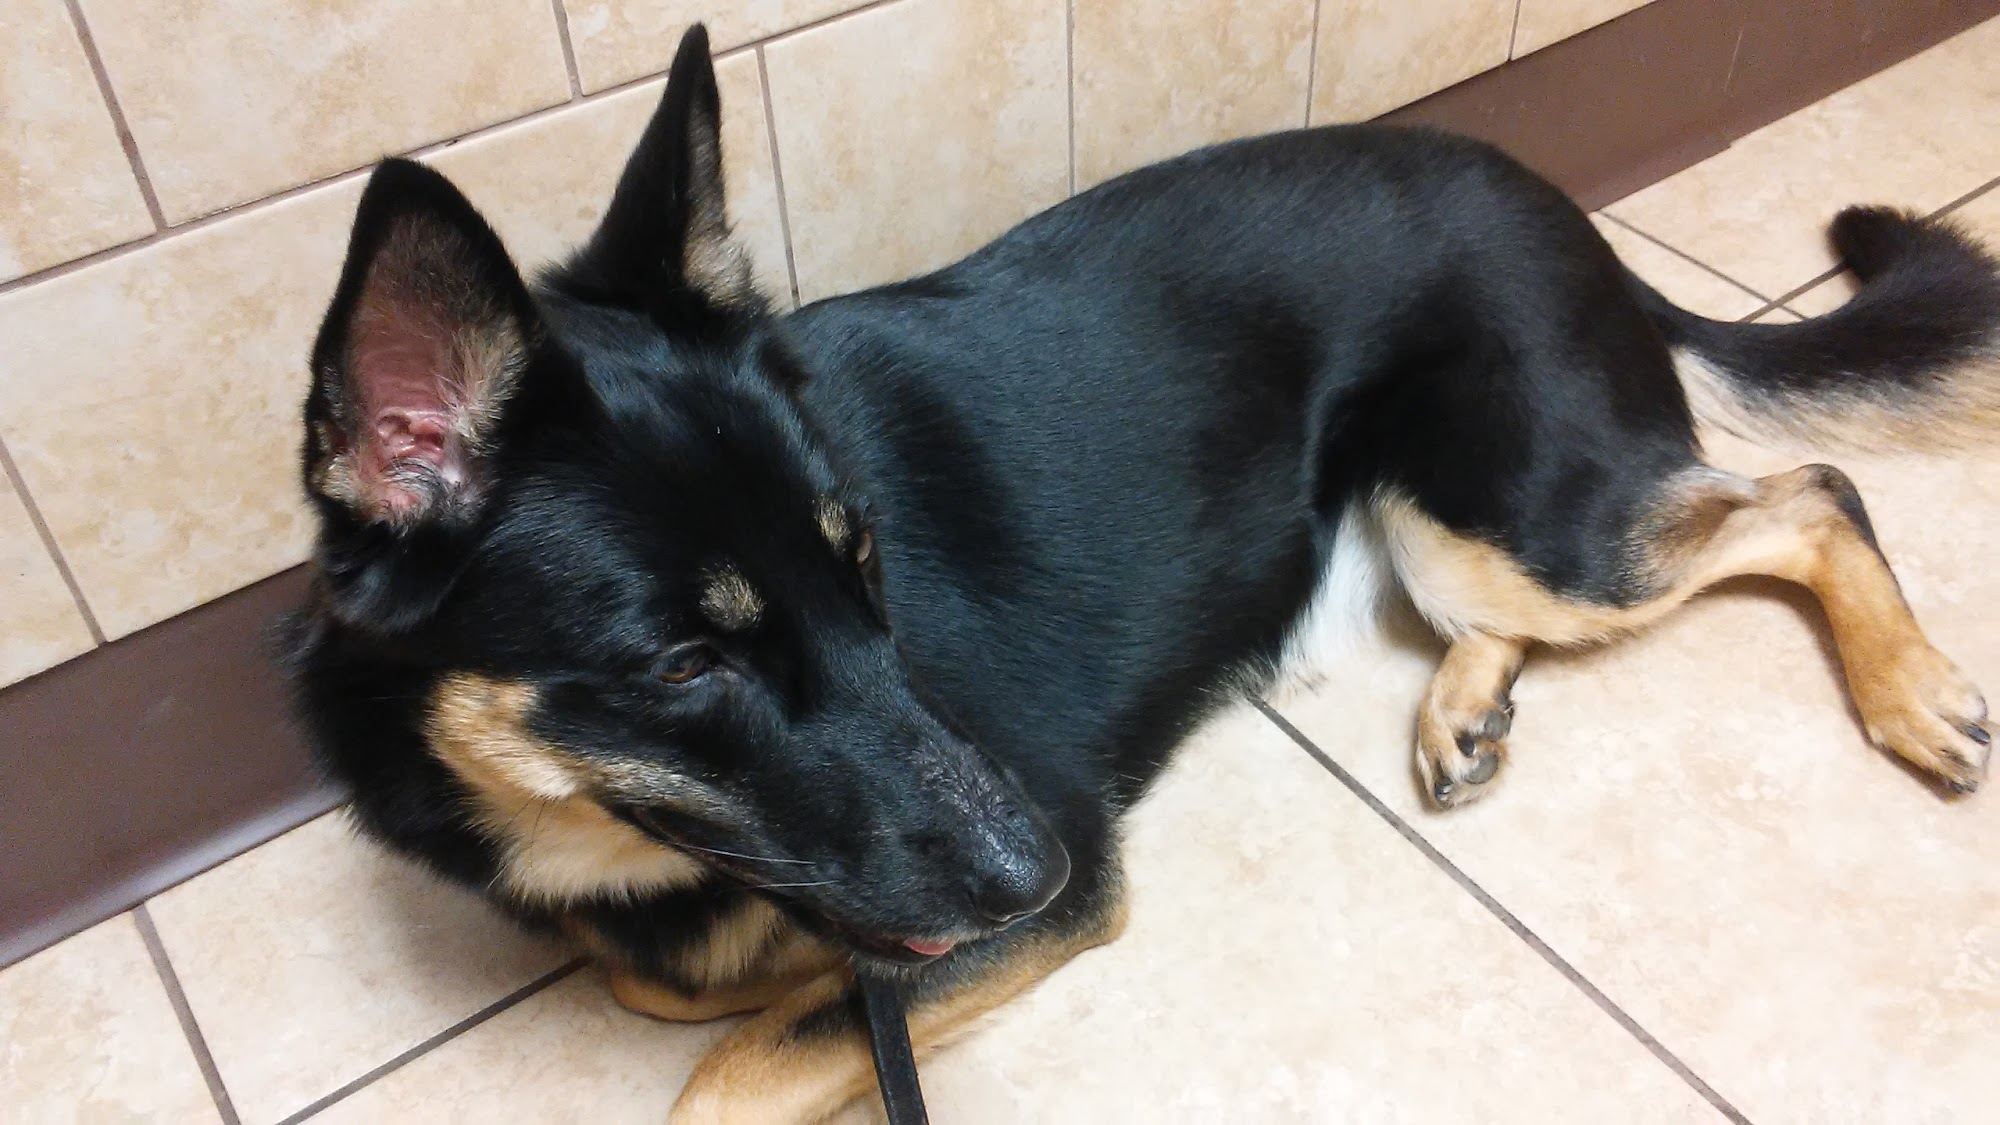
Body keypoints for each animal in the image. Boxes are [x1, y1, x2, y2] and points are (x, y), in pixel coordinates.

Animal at [287, 24, 1999, 1122]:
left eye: (865, 568)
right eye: (686, 663)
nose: (1039, 865)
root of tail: (1558, 205)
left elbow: (732, 1066)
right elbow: (677, 982)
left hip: (1513, 524)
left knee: (1807, 495)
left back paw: (1910, 691)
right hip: (1448, 542)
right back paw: (1464, 710)